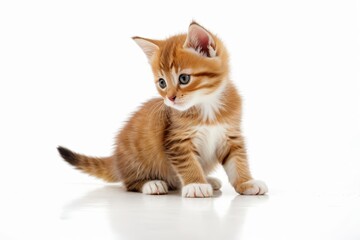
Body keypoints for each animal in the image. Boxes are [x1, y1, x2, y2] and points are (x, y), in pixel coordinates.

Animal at [57, 21, 268, 197]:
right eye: (162, 83)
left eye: (184, 78)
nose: (170, 98)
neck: (207, 106)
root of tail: (116, 158)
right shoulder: (176, 140)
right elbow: (188, 163)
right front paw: (196, 184)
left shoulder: (231, 135)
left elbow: (237, 161)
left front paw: (246, 183)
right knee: (129, 183)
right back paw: (152, 184)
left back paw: (208, 179)